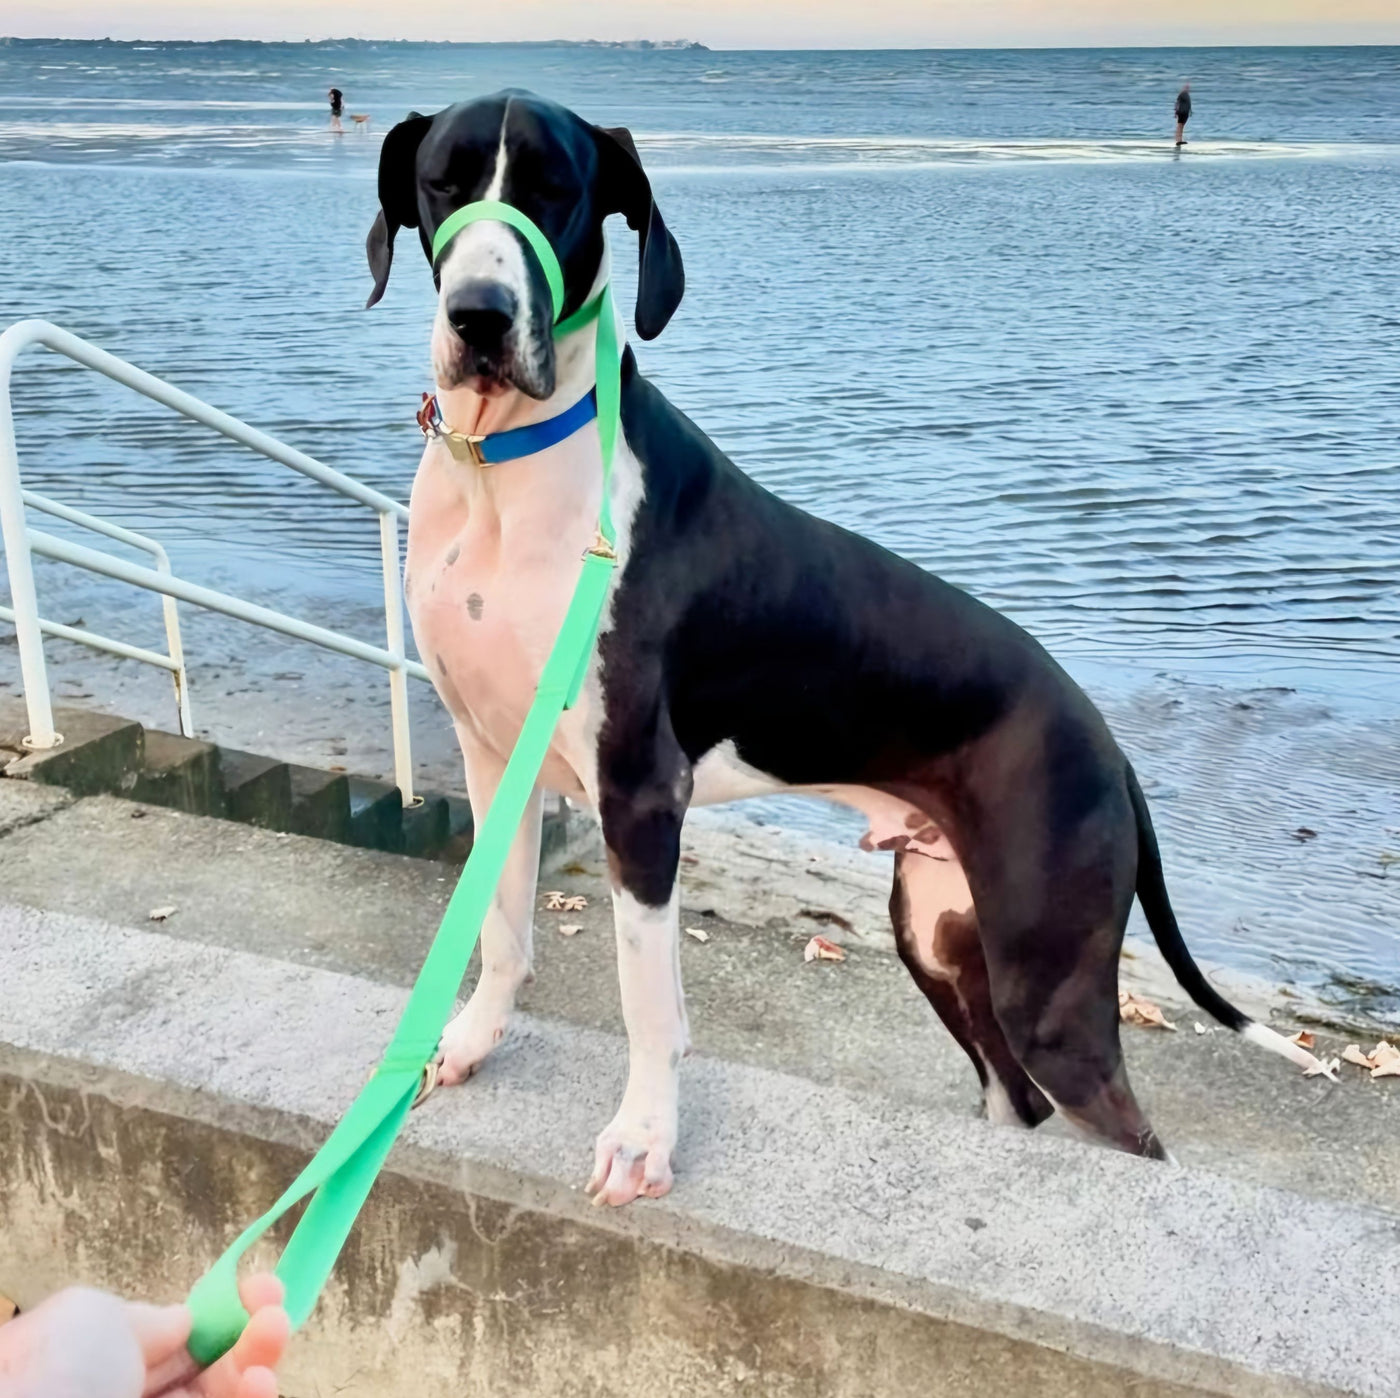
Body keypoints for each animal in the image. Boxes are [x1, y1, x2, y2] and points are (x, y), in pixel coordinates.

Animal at [364, 90, 1321, 1203]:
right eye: (442, 180)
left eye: (557, 189)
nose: (479, 314)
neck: (502, 469)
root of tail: (1110, 748)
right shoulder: (494, 757)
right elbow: (501, 927)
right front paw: (469, 1042)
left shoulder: (641, 796)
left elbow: (649, 1001)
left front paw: (644, 1138)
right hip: (940, 935)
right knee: (1014, 1096)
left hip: (1047, 981)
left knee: (1124, 1130)